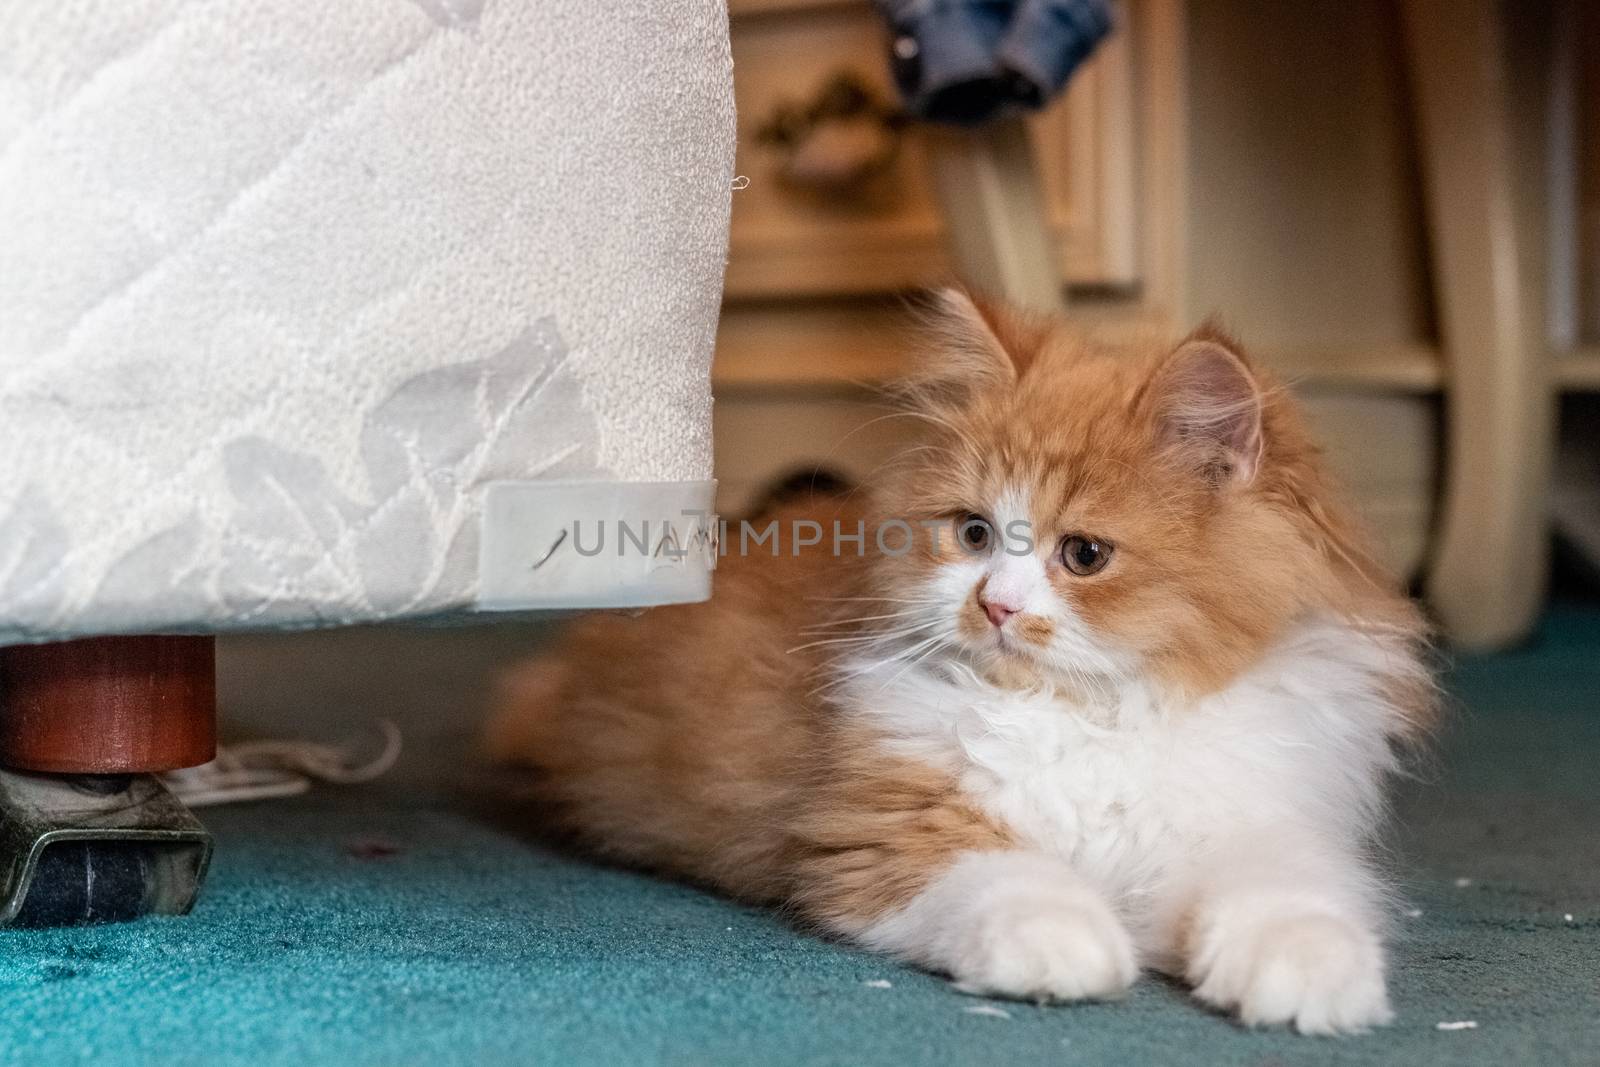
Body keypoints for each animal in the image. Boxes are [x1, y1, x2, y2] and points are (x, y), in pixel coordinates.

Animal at [486, 289, 1440, 1036]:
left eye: (1084, 554)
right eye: (975, 533)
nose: (997, 605)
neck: (1091, 713)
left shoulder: (1253, 819)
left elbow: (1291, 896)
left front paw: (1311, 976)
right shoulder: (894, 824)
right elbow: (1015, 883)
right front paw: (1070, 950)